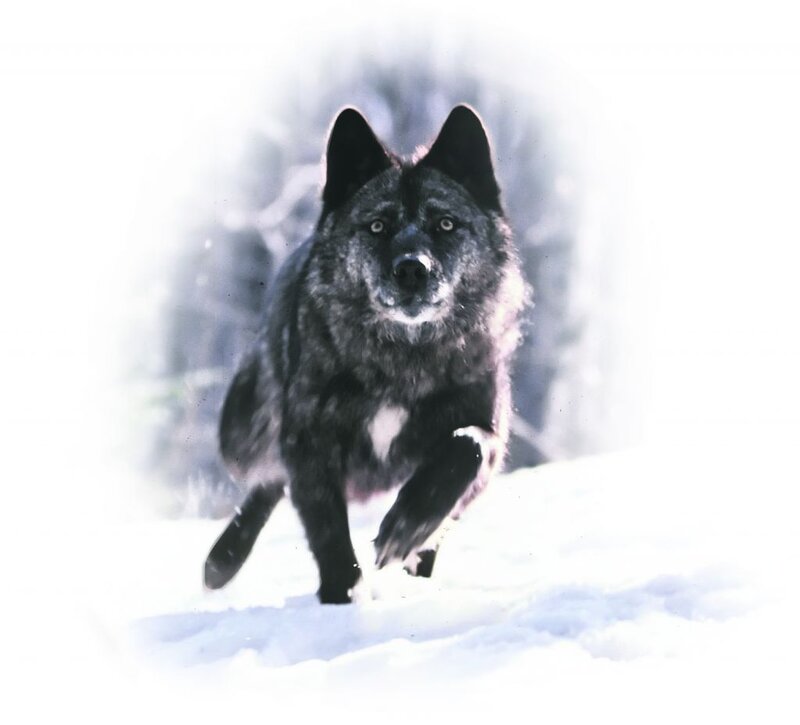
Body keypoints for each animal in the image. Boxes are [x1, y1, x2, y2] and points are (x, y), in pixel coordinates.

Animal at [203, 104, 526, 603]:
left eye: (445, 224)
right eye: (377, 226)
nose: (412, 269)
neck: (402, 360)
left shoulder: (489, 437)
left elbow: (467, 445)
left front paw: (408, 526)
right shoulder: (310, 444)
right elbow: (328, 532)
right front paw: (343, 597)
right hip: (240, 438)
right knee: (267, 478)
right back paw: (222, 560)